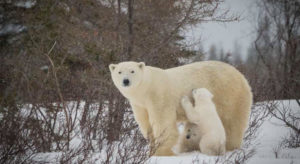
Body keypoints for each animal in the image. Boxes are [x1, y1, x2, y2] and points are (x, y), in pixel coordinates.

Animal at [109, 60, 252, 156]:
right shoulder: (139, 104)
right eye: (119, 72)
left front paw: (161, 153)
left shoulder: (159, 96)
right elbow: (145, 123)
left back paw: (230, 146)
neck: (146, 88)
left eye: (132, 71)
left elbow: (164, 125)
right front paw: (150, 148)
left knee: (232, 123)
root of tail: (242, 76)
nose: (126, 81)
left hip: (229, 95)